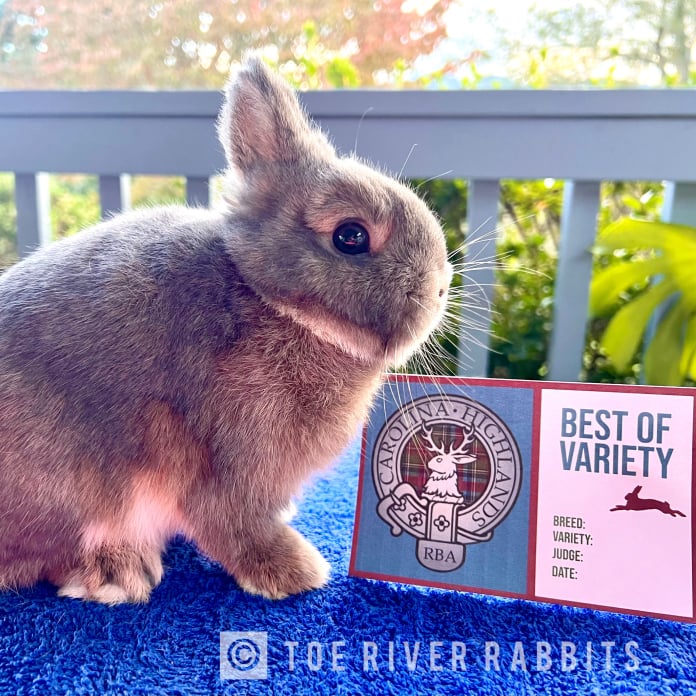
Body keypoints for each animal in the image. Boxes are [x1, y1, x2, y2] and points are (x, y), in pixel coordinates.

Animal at [0, 55, 452, 604]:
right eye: (351, 236)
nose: (440, 289)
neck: (274, 302)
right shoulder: (234, 460)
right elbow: (235, 524)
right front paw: (298, 573)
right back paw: (118, 572)